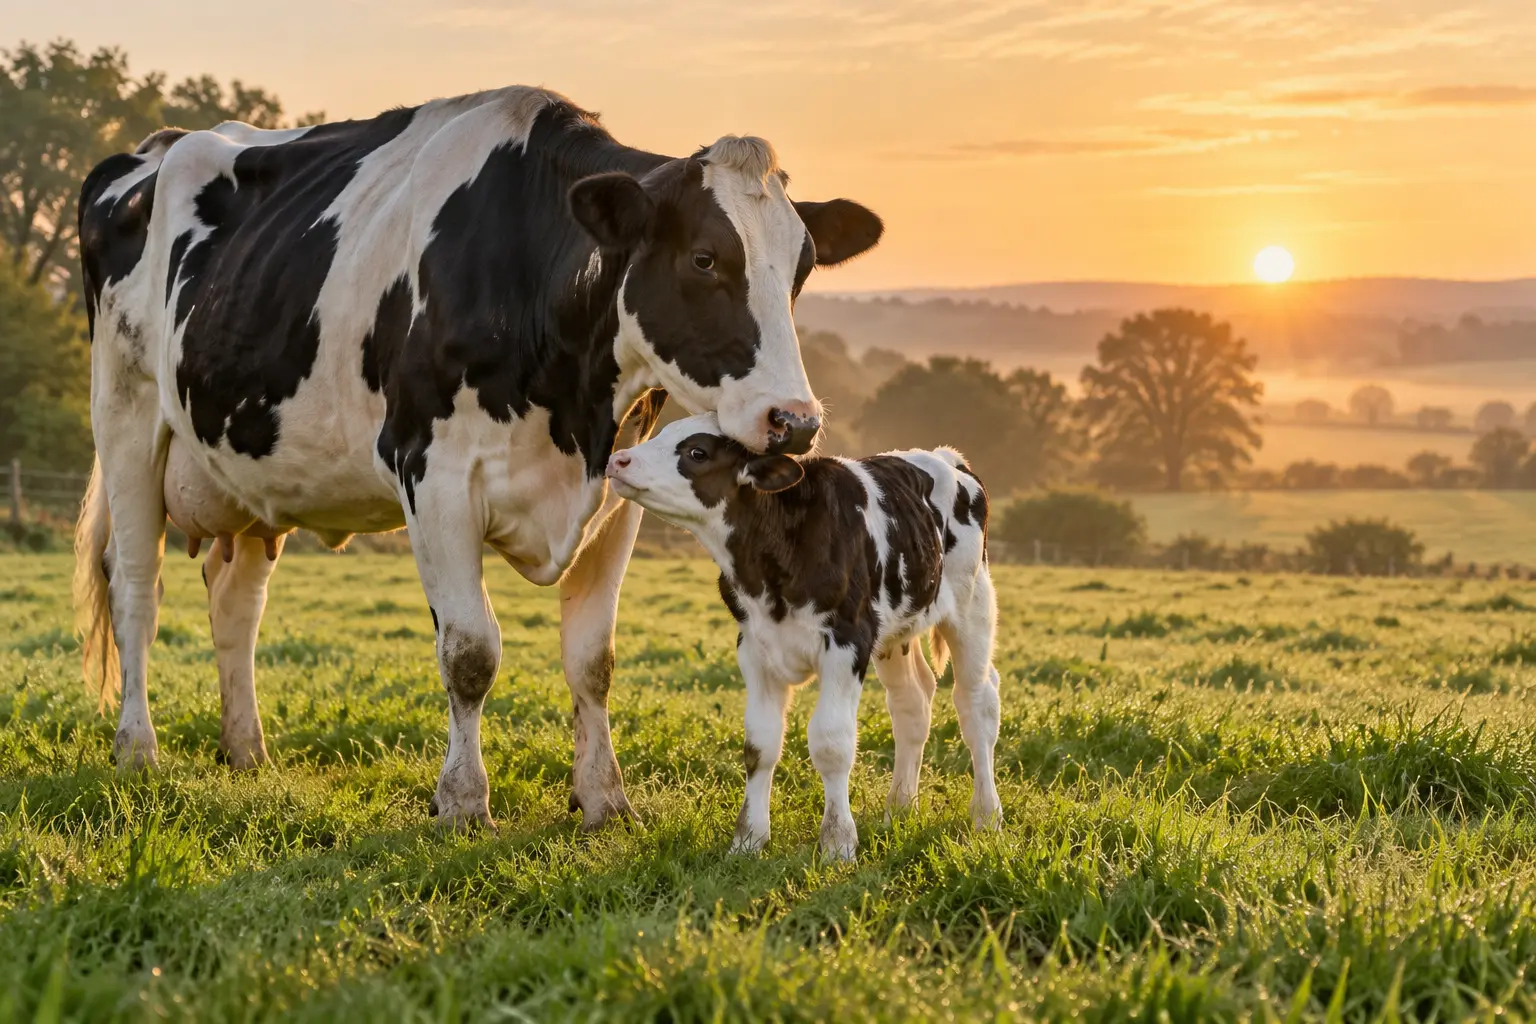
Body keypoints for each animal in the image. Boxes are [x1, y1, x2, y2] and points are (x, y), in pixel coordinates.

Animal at [71, 86, 883, 830]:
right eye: (705, 258)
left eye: (802, 269)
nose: (795, 421)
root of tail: (155, 147)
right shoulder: (433, 475)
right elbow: (469, 652)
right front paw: (463, 803)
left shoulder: (619, 491)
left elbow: (593, 659)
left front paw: (604, 801)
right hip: (125, 413)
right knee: (136, 588)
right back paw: (136, 749)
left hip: (246, 464)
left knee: (235, 602)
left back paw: (245, 749)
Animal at [604, 414, 1003, 859]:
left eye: (697, 452)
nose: (619, 459)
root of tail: (945, 457)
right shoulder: (755, 647)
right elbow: (759, 745)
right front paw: (748, 839)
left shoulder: (848, 642)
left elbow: (831, 743)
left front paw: (838, 842)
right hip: (896, 630)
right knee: (912, 703)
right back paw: (899, 809)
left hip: (972, 605)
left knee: (977, 703)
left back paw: (986, 816)